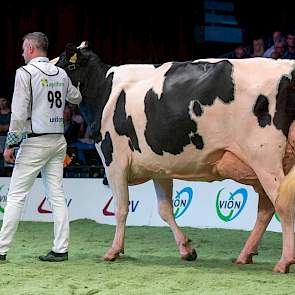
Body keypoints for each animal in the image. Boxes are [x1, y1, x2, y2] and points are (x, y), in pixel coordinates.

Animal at [54, 42, 295, 274]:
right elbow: (165, 209)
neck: (104, 89)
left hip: (264, 158)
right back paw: (245, 254)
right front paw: (186, 249)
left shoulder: (114, 161)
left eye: (63, 62)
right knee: (267, 208)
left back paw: (284, 261)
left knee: (281, 204)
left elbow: (121, 208)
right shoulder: (159, 167)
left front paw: (113, 251)